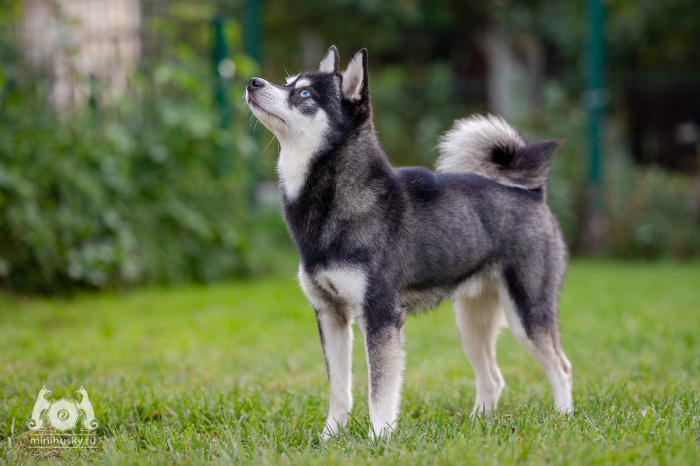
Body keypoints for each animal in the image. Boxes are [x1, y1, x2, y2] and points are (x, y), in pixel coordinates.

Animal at [246, 45, 576, 438]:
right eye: (287, 82)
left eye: (305, 94)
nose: (253, 82)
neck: (337, 201)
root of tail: (531, 193)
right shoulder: (330, 314)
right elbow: (339, 389)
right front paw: (330, 437)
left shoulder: (380, 315)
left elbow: (379, 389)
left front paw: (378, 438)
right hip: (470, 322)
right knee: (493, 378)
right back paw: (477, 423)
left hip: (527, 314)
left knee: (561, 367)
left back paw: (564, 418)